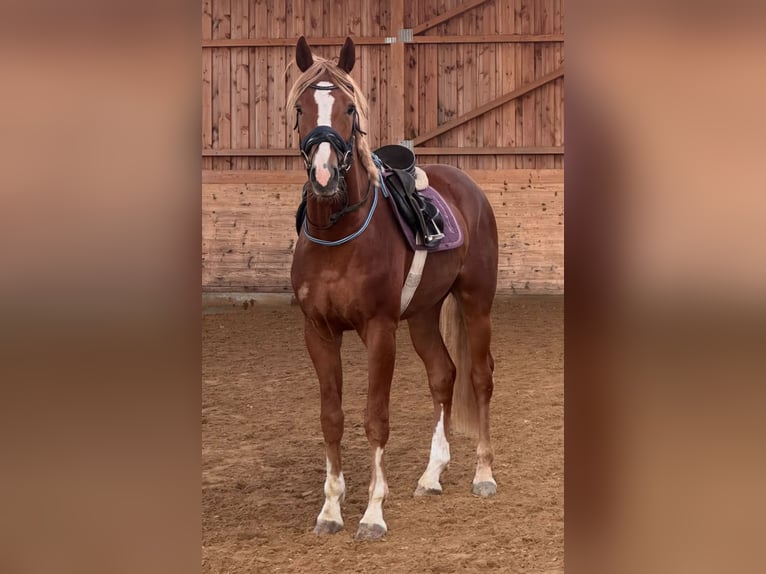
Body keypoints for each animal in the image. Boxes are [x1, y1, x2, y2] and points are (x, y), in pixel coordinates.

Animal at [287, 36, 499, 540]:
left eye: (349, 108)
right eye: (302, 108)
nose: (323, 177)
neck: (338, 237)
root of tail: (467, 186)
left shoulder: (380, 331)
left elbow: (375, 419)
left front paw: (372, 514)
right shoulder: (318, 332)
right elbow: (332, 418)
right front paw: (330, 510)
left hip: (476, 303)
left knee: (480, 377)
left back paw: (483, 473)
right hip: (422, 314)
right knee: (444, 375)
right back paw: (431, 476)